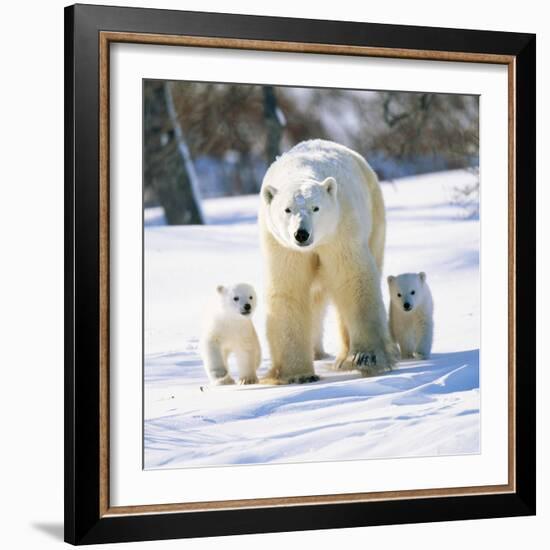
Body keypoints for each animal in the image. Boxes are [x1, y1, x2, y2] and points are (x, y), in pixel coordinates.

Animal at [260, 140, 398, 386]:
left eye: (316, 208)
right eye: (287, 209)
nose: (301, 234)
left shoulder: (340, 230)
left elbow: (353, 279)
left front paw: (367, 357)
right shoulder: (281, 246)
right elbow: (288, 290)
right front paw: (298, 374)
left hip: (375, 216)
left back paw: (344, 358)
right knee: (314, 299)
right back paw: (317, 352)